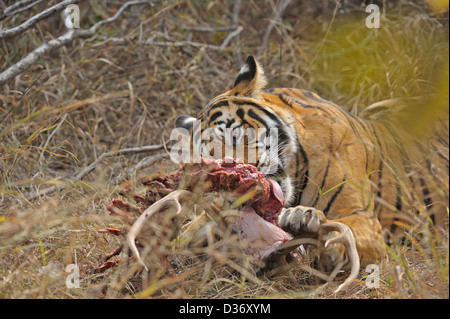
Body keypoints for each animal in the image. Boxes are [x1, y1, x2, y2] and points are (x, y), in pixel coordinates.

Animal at [174, 56, 448, 272]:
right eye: (213, 164)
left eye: (236, 136)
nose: (245, 185)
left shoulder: (362, 216)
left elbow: (345, 231)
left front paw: (308, 222)